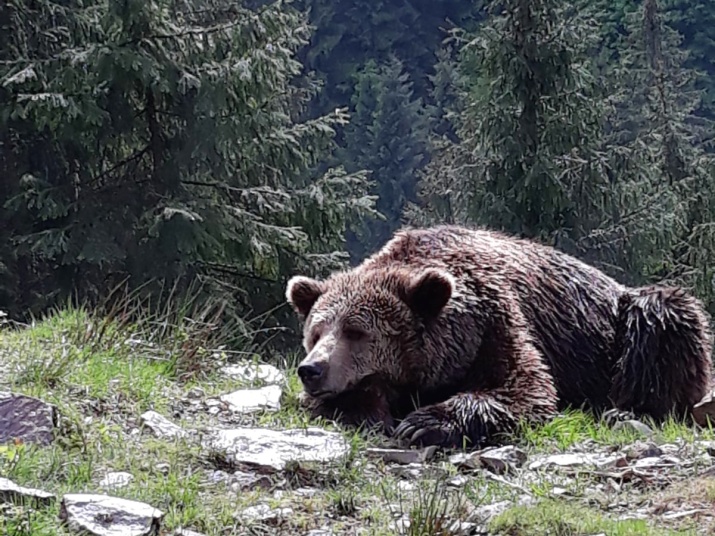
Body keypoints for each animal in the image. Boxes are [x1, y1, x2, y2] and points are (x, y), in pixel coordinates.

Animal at [282, 224, 712, 450]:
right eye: (316, 333)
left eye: (356, 331)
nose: (312, 370)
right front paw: (371, 411)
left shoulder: (495, 323)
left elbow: (521, 387)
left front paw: (423, 423)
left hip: (621, 322)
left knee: (663, 321)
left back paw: (629, 409)